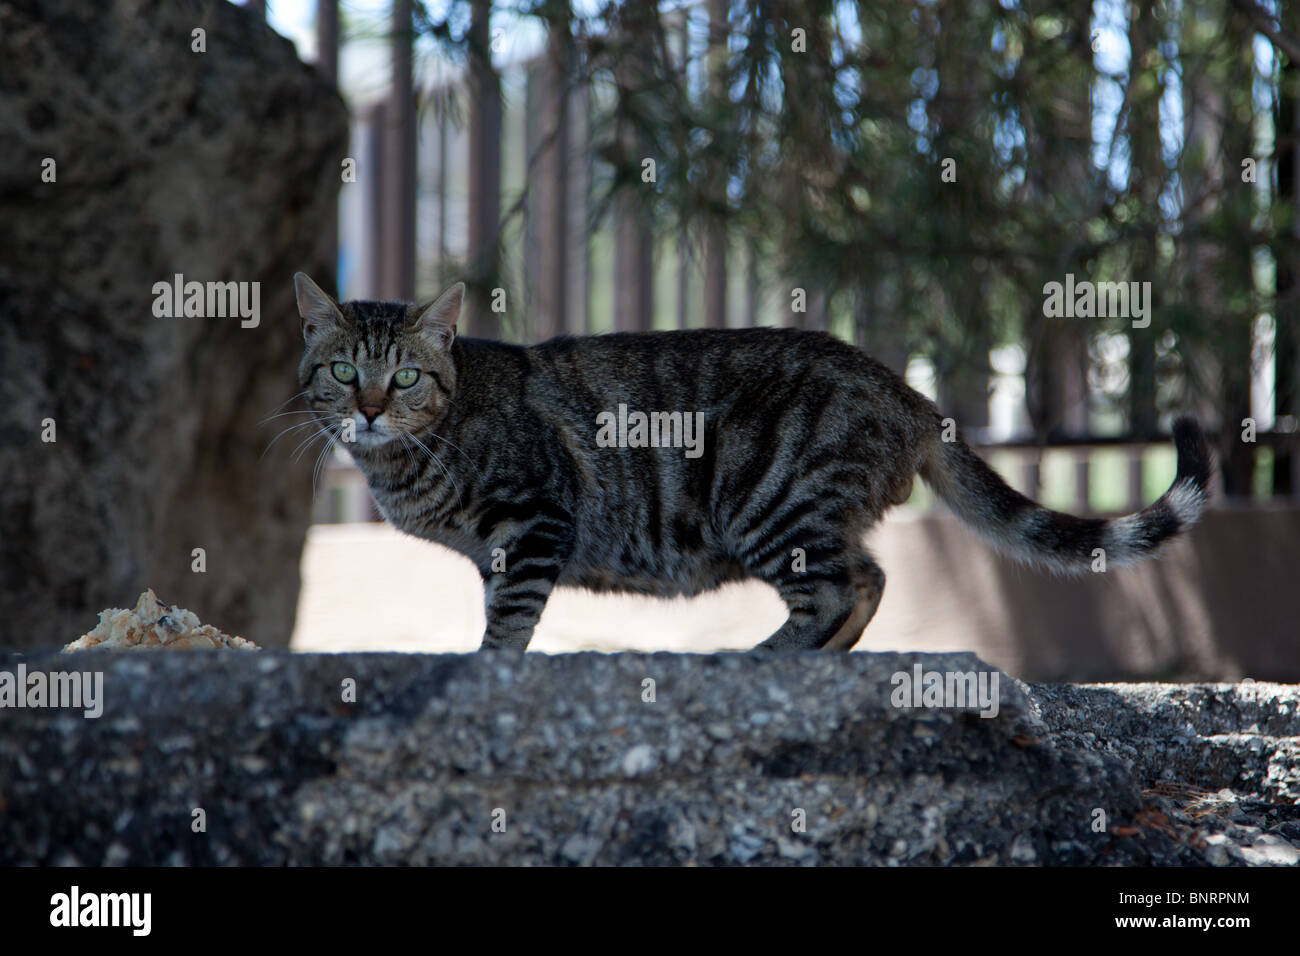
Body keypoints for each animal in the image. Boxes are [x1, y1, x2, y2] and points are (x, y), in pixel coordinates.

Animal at [289, 273, 1211, 655]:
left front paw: (490, 668)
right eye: (341, 371)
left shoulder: (534, 518)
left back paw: (764, 658)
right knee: (863, 583)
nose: (368, 408)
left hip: (771, 501)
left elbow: (508, 626)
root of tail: (906, 393)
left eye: (405, 376)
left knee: (852, 584)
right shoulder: (504, 548)